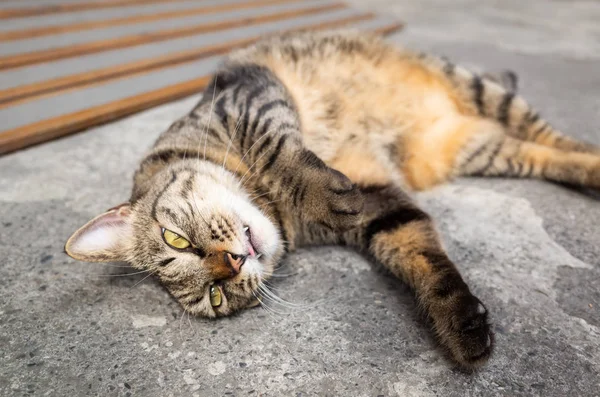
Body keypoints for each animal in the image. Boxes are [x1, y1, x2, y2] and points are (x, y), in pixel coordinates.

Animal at [62, 30, 600, 368]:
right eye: (216, 297)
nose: (231, 264)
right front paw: (461, 323)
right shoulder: (381, 206)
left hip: (481, 92)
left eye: (177, 240)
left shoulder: (250, 97)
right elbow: (421, 257)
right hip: (477, 146)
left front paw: (320, 191)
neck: (278, 211)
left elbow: (279, 150)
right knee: (544, 154)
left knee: (552, 135)